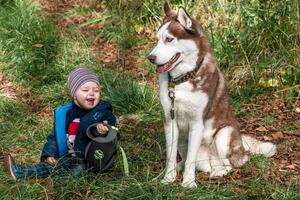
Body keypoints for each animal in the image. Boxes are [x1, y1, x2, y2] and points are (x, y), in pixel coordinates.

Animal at [148, 2, 276, 188]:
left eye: (169, 39)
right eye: (157, 39)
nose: (150, 57)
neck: (182, 80)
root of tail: (242, 146)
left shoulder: (196, 123)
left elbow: (190, 160)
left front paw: (188, 183)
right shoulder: (169, 120)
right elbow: (171, 157)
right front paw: (168, 178)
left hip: (224, 134)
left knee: (227, 164)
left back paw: (218, 172)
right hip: (183, 140)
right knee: (190, 159)